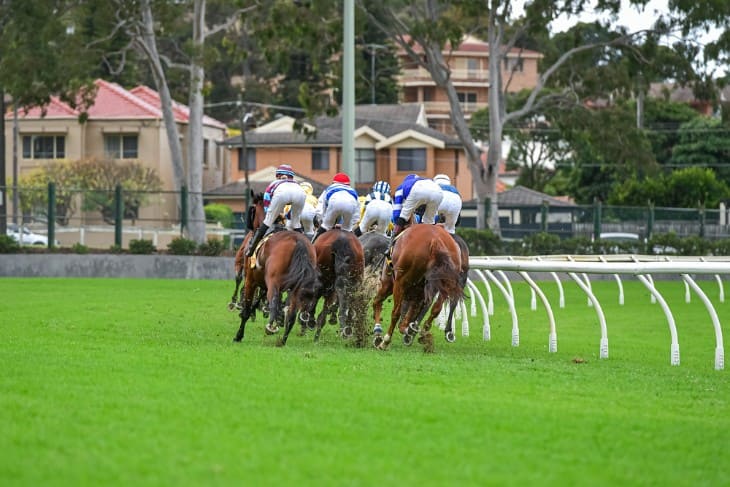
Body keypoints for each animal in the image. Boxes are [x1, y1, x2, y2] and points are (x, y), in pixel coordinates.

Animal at [372, 225, 464, 354]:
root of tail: (436, 240)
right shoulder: (418, 292)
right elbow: (410, 316)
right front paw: (411, 331)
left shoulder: (388, 283)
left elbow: (377, 302)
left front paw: (378, 334)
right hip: (445, 282)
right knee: (436, 308)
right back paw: (422, 332)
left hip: (400, 283)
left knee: (395, 312)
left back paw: (385, 341)